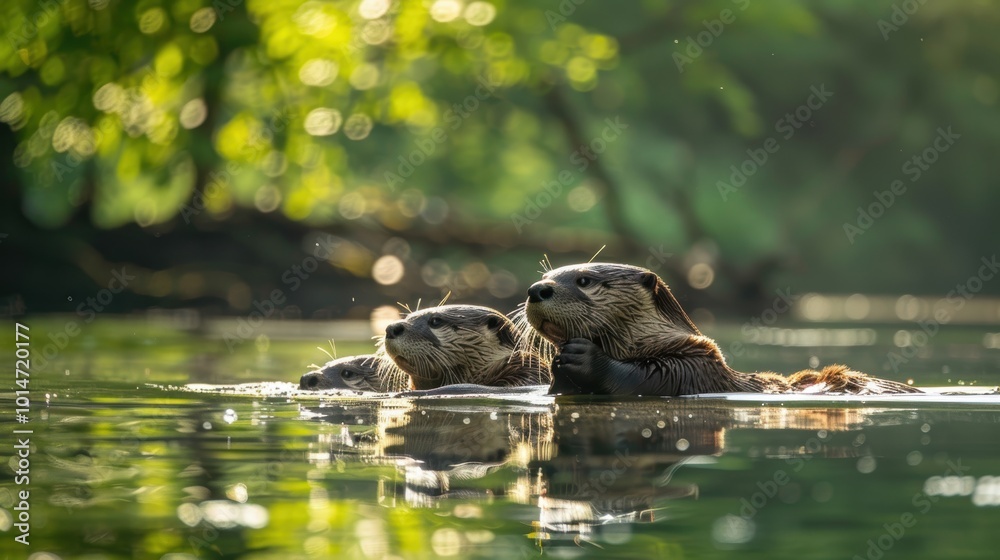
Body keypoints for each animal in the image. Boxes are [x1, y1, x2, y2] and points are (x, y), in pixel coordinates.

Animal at [521, 262, 921, 396]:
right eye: (546, 275)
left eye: (584, 280)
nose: (536, 289)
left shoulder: (693, 365)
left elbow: (641, 378)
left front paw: (583, 356)